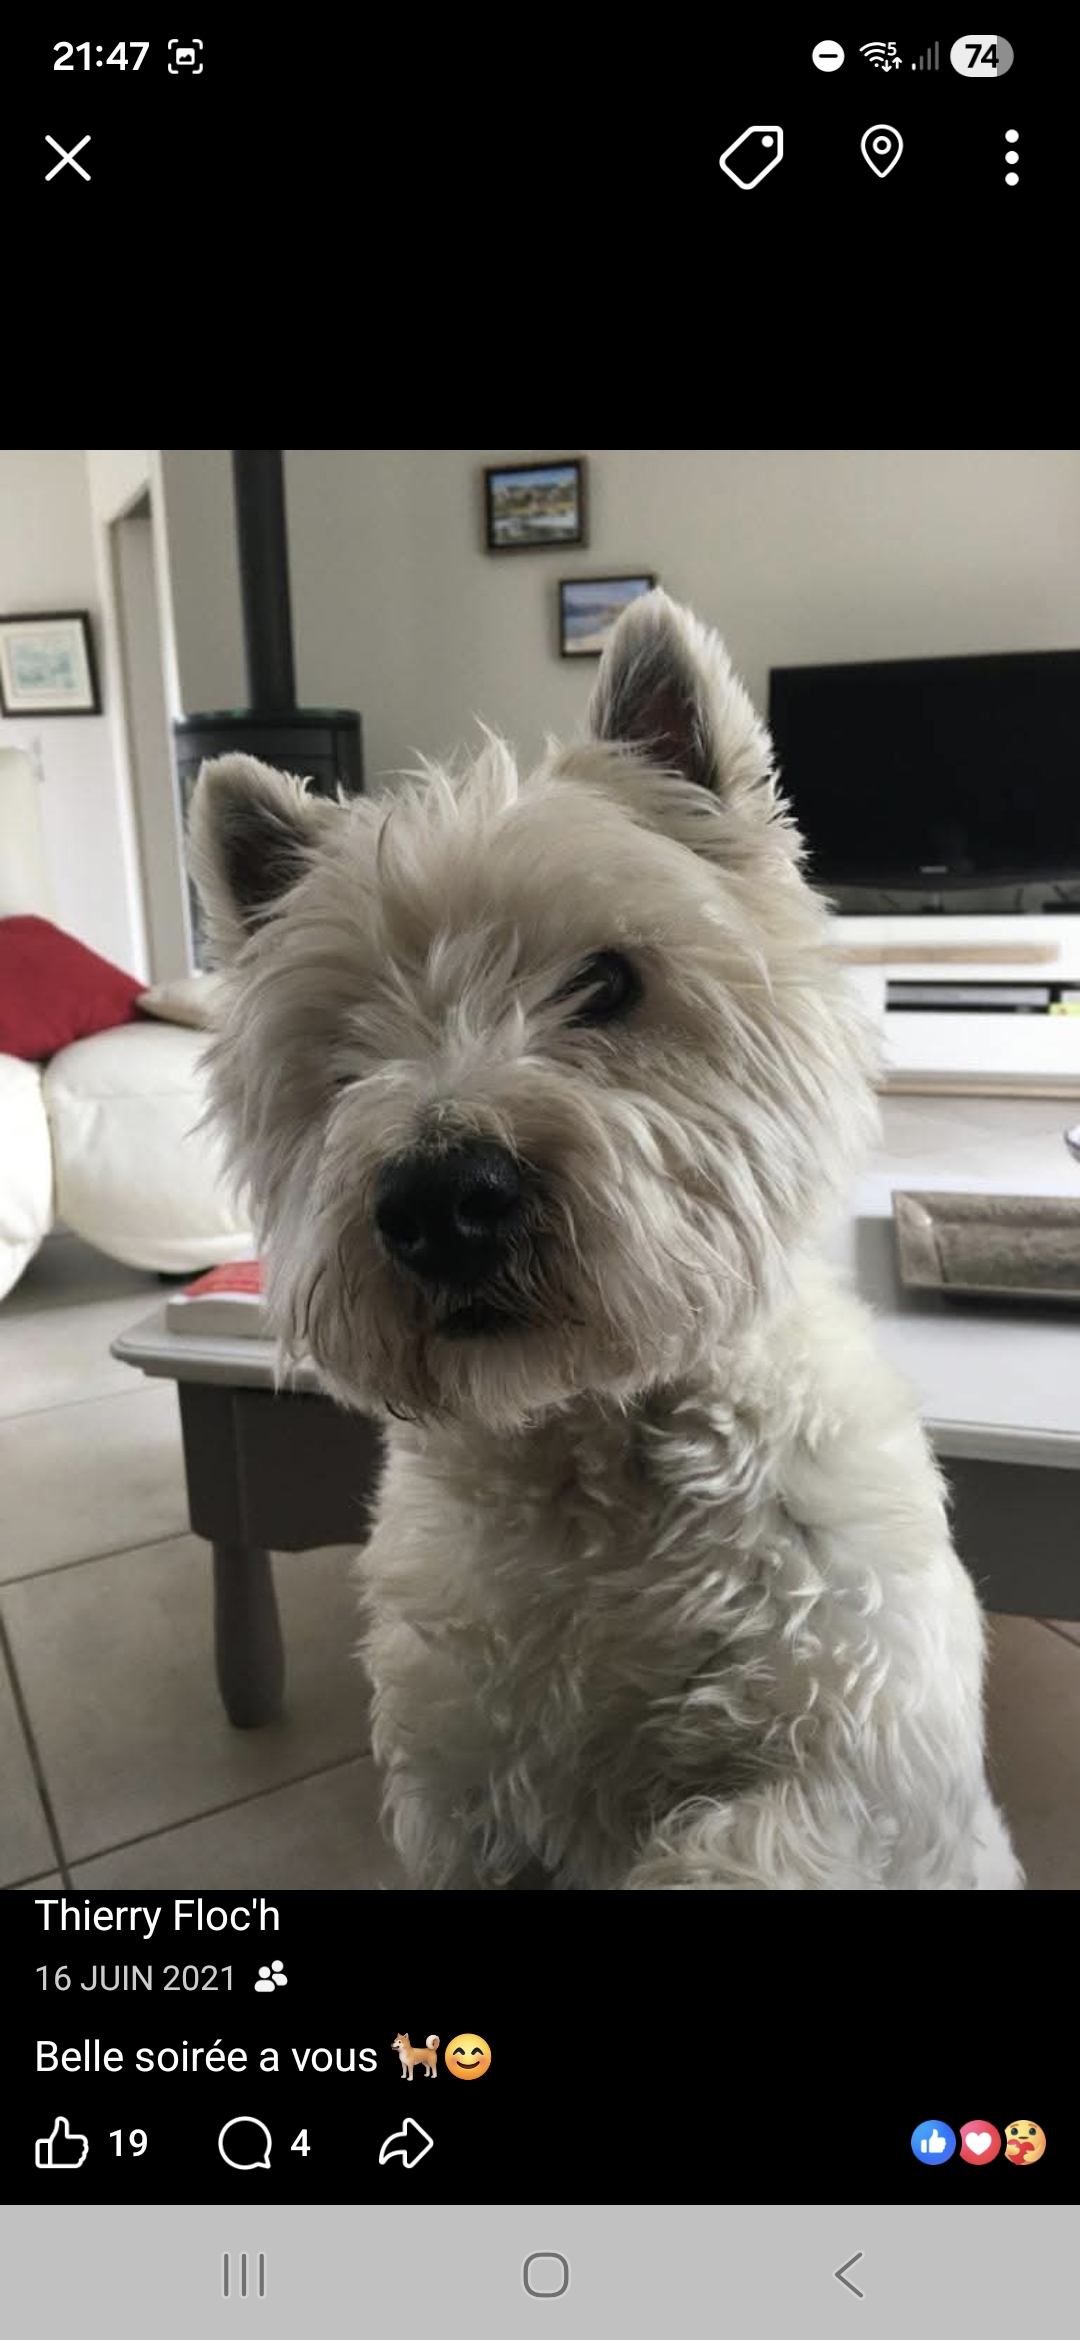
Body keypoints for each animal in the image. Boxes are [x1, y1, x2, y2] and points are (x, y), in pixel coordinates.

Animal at [190, 588, 1022, 1891]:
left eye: (610, 981)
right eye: (343, 1049)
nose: (441, 1202)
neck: (591, 1463)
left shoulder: (851, 1762)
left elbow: (734, 1848)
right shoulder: (458, 1788)